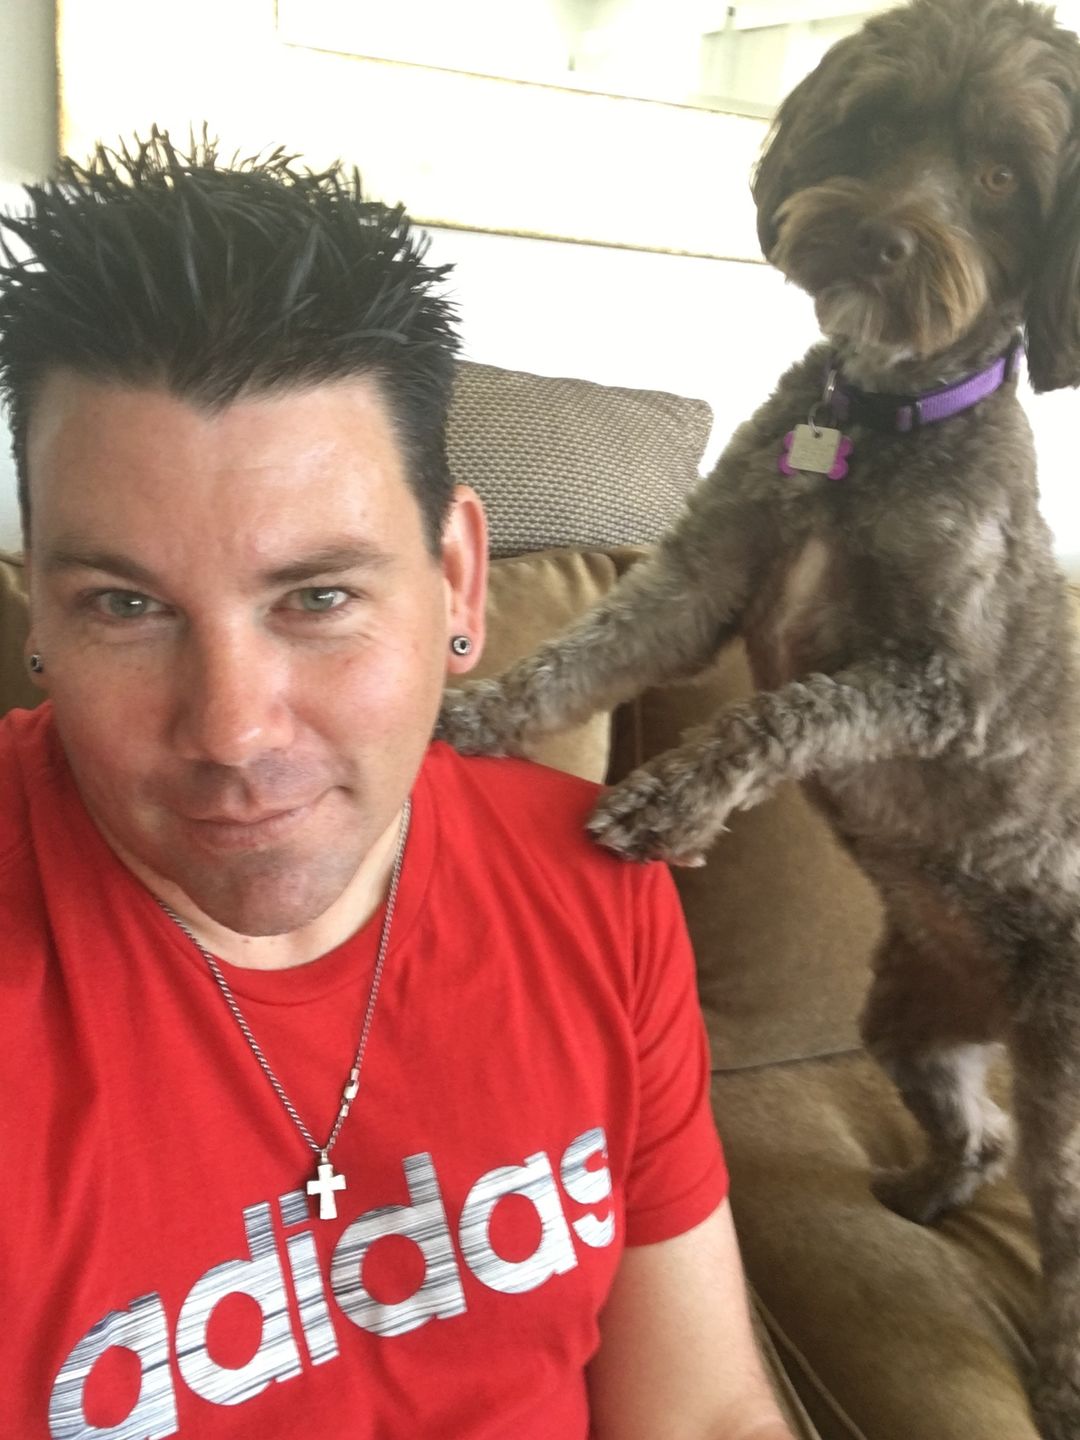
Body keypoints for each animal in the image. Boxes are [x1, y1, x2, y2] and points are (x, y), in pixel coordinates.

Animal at [438, 1, 1080, 1432]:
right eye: (879, 120)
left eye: (1003, 176)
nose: (883, 235)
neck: (878, 414)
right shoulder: (700, 579)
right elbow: (586, 654)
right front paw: (477, 713)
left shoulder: (938, 683)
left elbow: (783, 714)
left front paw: (672, 801)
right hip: (910, 1018)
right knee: (981, 1129)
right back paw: (926, 1194)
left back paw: (1059, 1385)